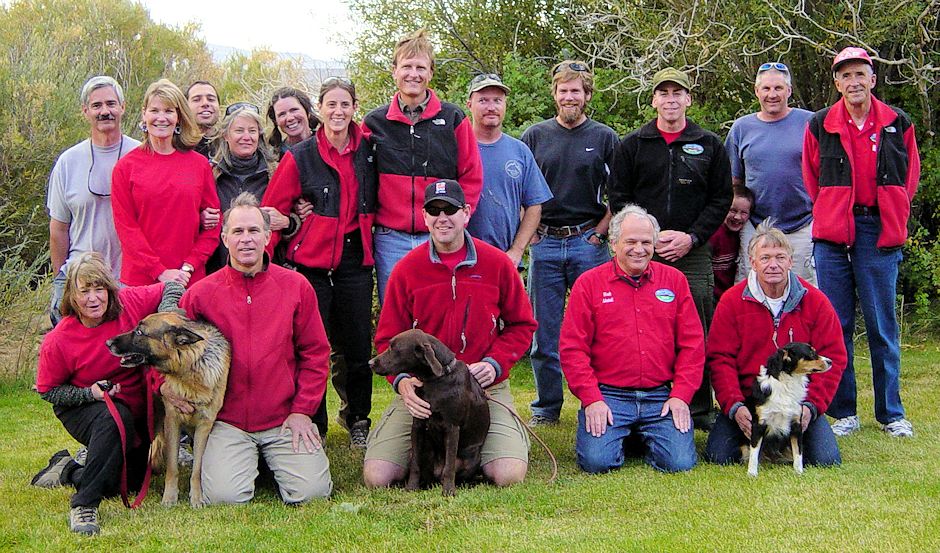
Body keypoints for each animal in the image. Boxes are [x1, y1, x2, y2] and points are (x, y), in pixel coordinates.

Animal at [106, 310, 229, 504]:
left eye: (139, 332)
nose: (107, 343)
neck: (189, 369)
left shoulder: (204, 426)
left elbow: (198, 468)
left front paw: (196, 497)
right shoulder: (172, 421)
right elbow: (172, 466)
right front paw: (170, 497)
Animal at [370, 328, 492, 496]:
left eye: (394, 349)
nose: (370, 363)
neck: (435, 380)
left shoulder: (452, 427)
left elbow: (449, 466)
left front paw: (448, 491)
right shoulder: (418, 425)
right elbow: (415, 465)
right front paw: (411, 487)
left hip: (473, 458)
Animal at [748, 340, 828, 474]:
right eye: (811, 353)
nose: (830, 361)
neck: (787, 383)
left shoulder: (796, 423)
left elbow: (798, 452)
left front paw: (799, 472)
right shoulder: (759, 423)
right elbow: (754, 452)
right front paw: (752, 473)